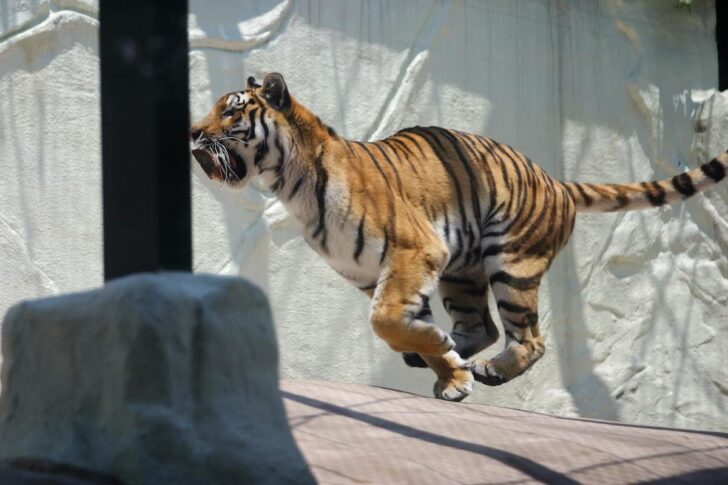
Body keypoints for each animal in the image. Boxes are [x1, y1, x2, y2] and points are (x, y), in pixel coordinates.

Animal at [189, 73, 728, 400]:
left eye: (232, 112)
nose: (193, 132)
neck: (290, 182)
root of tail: (555, 180)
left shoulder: (412, 252)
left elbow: (386, 321)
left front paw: (440, 354)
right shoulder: (376, 272)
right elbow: (404, 325)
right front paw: (448, 371)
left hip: (512, 263)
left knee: (530, 338)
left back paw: (491, 368)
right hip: (462, 274)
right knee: (482, 326)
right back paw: (457, 354)